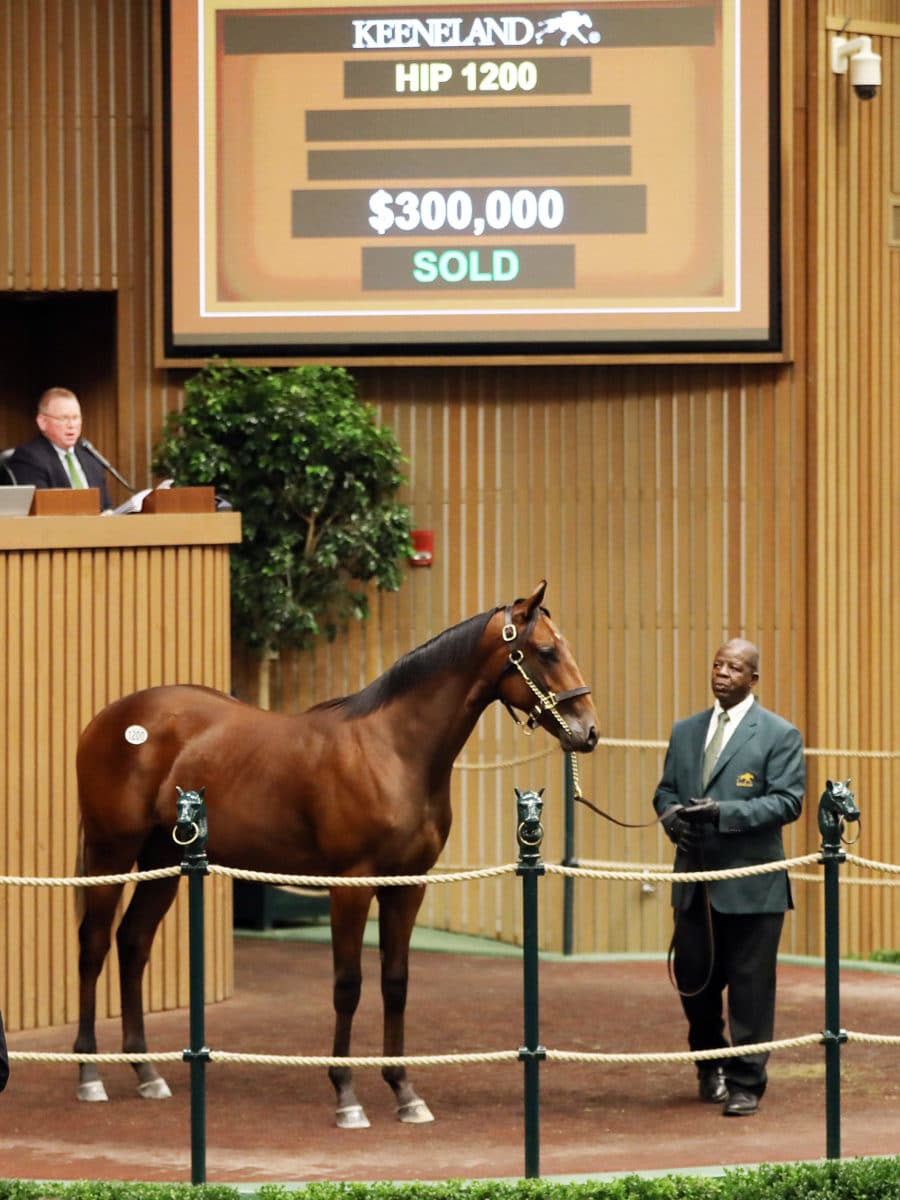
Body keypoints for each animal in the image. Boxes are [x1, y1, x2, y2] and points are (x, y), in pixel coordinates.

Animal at [72, 580, 600, 1123]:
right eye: (546, 652)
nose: (588, 731)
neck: (393, 752)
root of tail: (110, 718)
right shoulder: (351, 884)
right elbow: (348, 984)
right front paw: (346, 1094)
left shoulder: (408, 886)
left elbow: (396, 981)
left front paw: (404, 1091)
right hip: (111, 851)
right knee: (94, 944)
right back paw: (89, 1073)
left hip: (162, 859)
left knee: (133, 942)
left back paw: (145, 1072)